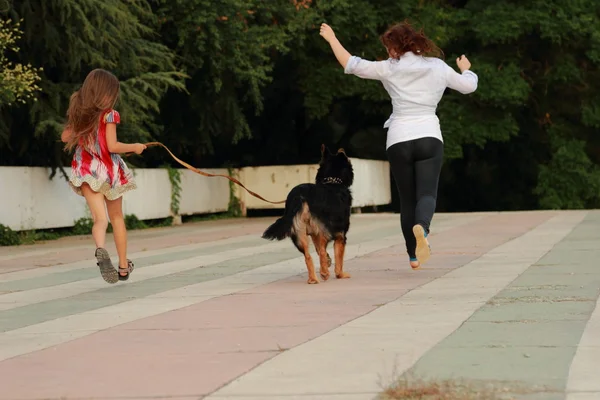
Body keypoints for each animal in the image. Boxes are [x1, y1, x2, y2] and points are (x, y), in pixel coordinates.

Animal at [262, 145, 354, 282]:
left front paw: (327, 262)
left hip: (298, 232)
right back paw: (324, 274)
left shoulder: (314, 232)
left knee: (308, 256)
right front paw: (340, 274)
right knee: (321, 251)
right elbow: (338, 257)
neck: (333, 182)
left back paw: (314, 279)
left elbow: (319, 250)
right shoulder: (339, 235)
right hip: (320, 230)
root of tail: (300, 196)